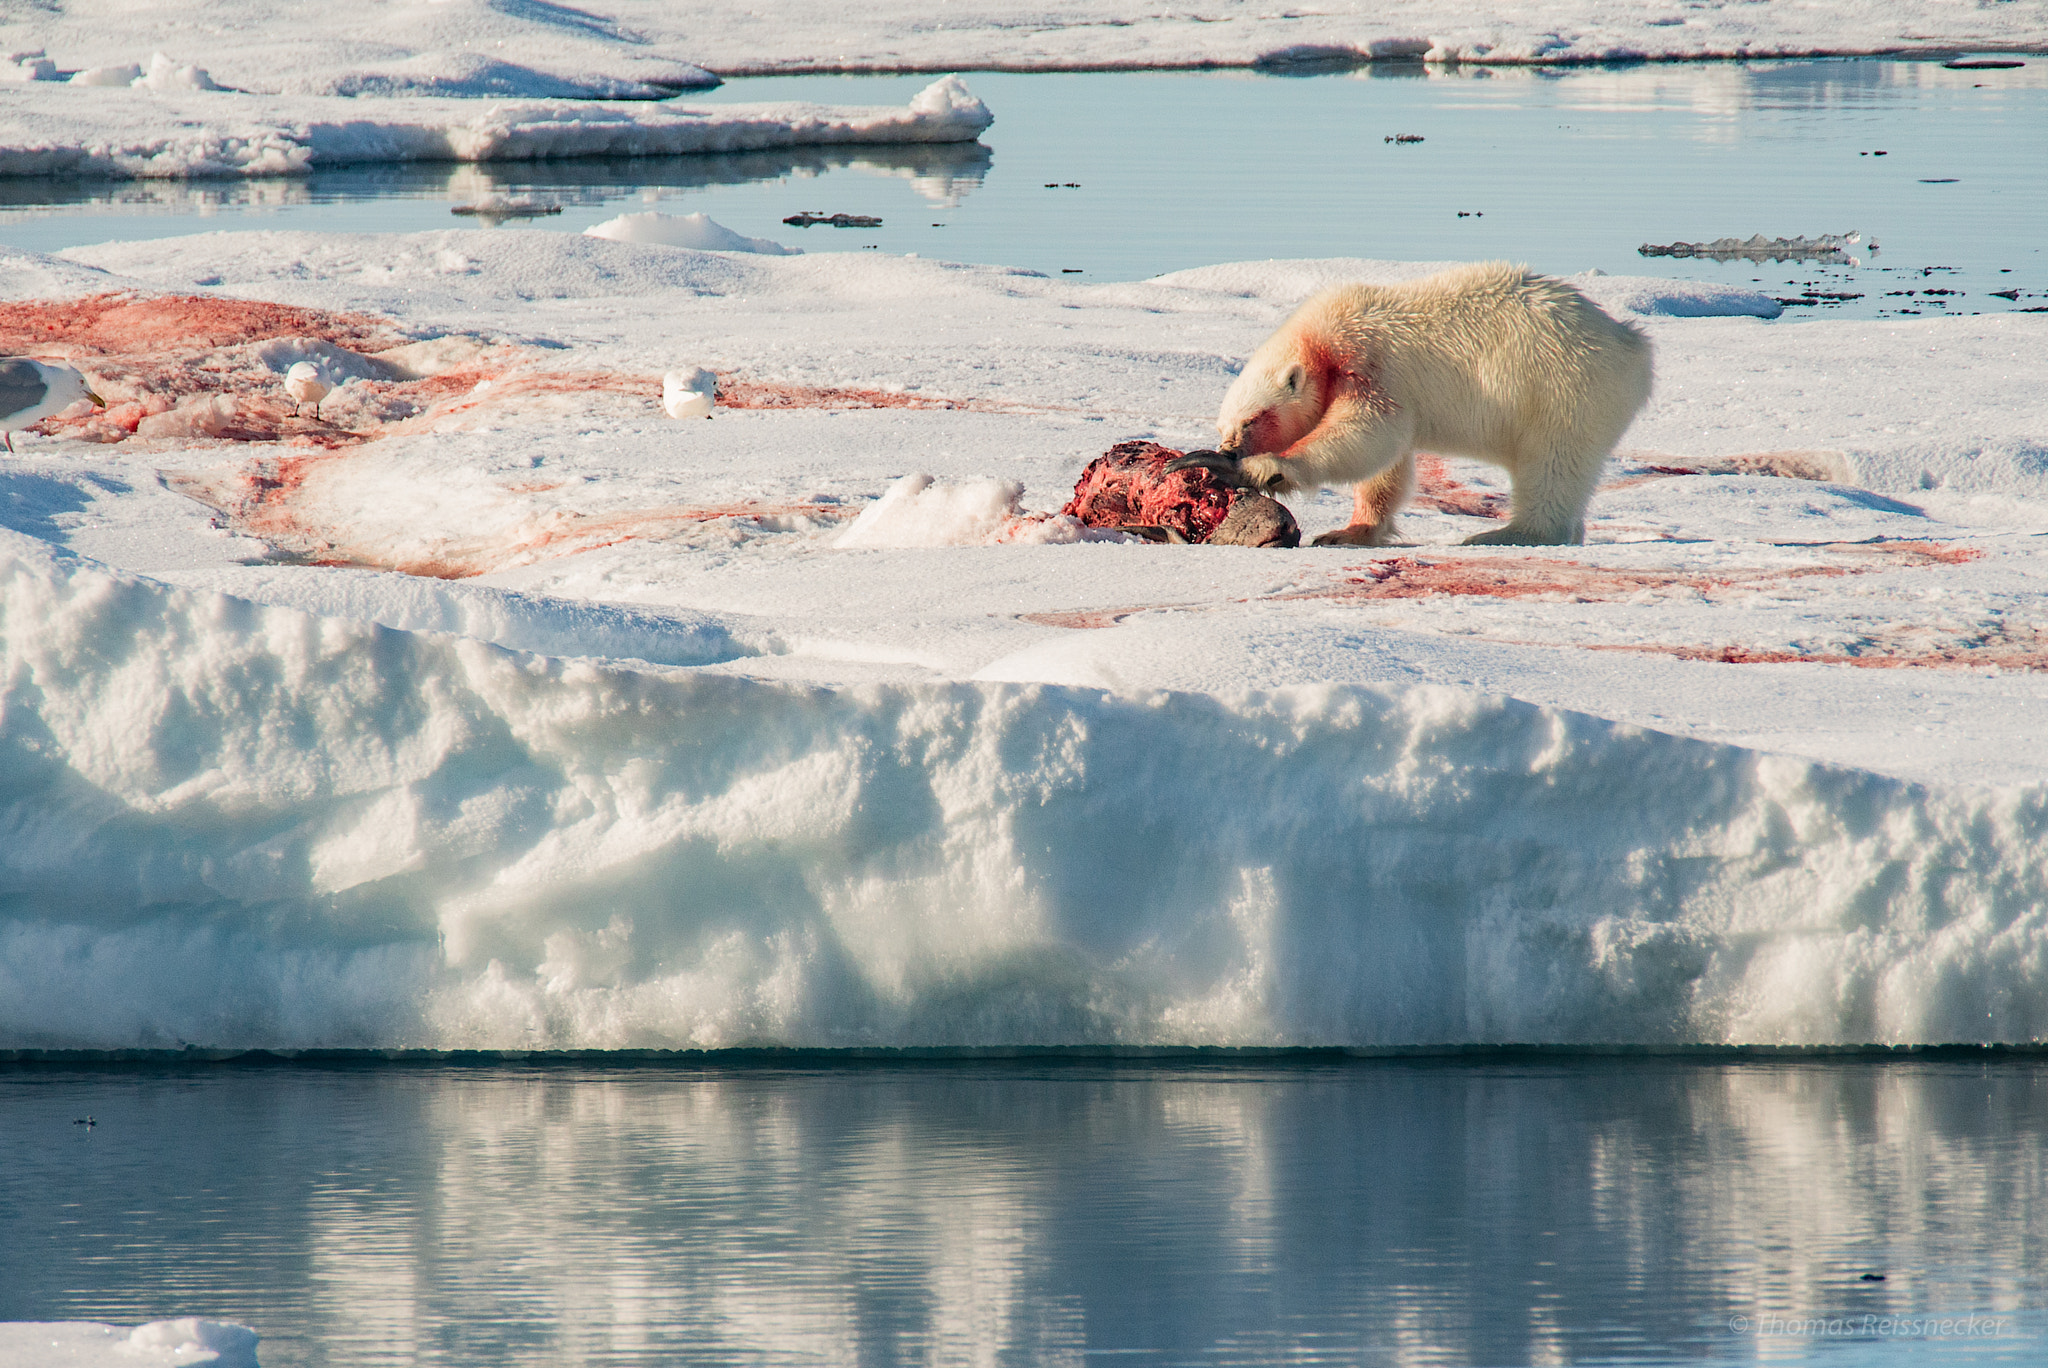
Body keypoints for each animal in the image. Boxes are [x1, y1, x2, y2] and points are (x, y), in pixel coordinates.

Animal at [1196, 262, 1646, 544]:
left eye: (1253, 419)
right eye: (1224, 425)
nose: (1228, 450)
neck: (1323, 338)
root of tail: (1632, 344)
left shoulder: (1369, 366)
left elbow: (1364, 434)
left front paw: (1266, 469)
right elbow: (1385, 465)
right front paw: (1350, 531)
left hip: (1563, 388)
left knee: (1552, 463)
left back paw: (1508, 534)